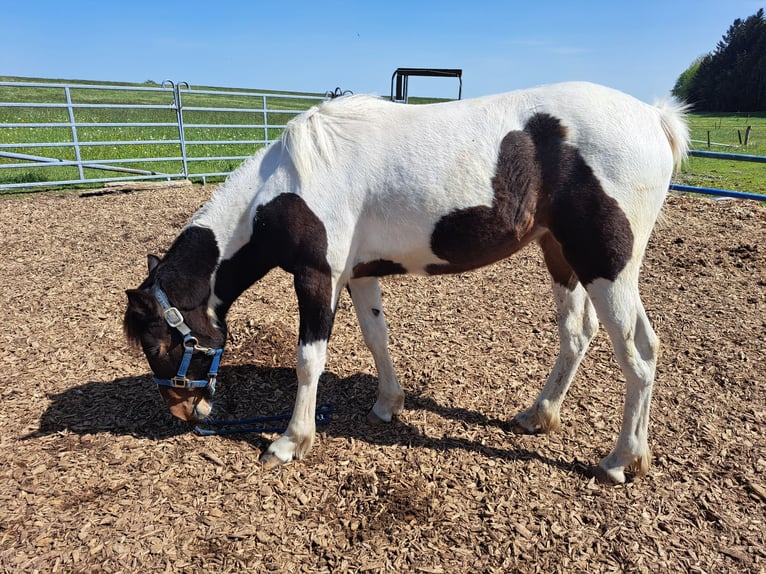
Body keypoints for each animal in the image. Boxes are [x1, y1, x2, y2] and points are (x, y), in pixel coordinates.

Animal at [124, 82, 688, 486]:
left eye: (159, 344)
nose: (183, 410)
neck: (284, 186)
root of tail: (654, 118)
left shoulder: (317, 277)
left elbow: (310, 360)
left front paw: (290, 442)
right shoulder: (358, 275)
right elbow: (377, 338)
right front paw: (387, 405)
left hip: (607, 267)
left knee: (639, 354)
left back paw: (620, 460)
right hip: (562, 257)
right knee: (579, 334)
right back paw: (539, 416)